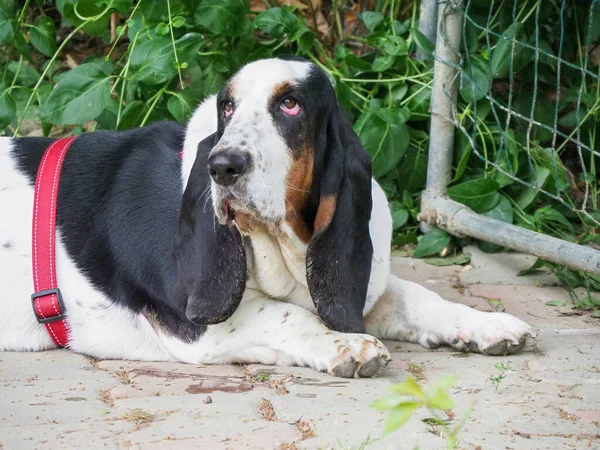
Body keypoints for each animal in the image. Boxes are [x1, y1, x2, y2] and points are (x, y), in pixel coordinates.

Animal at [0, 57, 536, 380]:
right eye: (227, 107)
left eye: (290, 104)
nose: (222, 166)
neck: (279, 244)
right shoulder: (198, 325)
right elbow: (286, 314)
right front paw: (348, 347)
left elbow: (421, 300)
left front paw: (488, 327)